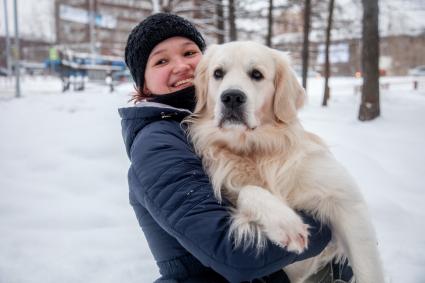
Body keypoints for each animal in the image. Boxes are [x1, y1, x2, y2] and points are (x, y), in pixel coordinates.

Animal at [186, 40, 384, 283]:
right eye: (218, 73)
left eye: (257, 74)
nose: (231, 97)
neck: (256, 151)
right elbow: (248, 190)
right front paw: (285, 222)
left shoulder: (347, 203)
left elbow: (368, 269)